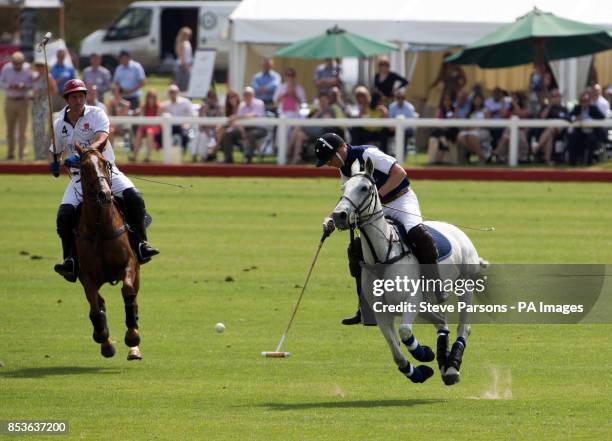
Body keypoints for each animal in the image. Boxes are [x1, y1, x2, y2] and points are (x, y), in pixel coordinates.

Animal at [74, 143, 142, 360]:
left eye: (105, 164)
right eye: (84, 167)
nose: (104, 194)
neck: (100, 226)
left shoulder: (129, 263)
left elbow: (127, 292)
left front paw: (132, 336)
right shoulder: (86, 275)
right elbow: (95, 308)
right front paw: (102, 337)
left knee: (134, 300)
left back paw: (134, 349)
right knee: (99, 303)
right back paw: (106, 342)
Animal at [330, 158, 482, 384]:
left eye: (364, 188)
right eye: (343, 188)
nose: (338, 216)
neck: (382, 256)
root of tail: (457, 230)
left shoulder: (412, 299)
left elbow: (404, 332)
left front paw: (424, 353)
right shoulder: (382, 312)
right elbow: (396, 353)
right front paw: (419, 371)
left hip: (466, 284)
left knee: (463, 327)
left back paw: (452, 367)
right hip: (427, 304)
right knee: (441, 322)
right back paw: (443, 360)